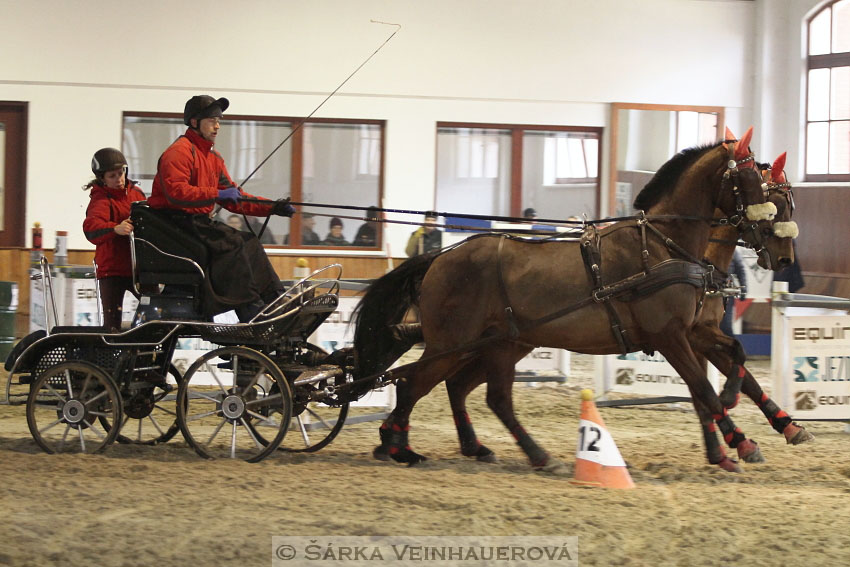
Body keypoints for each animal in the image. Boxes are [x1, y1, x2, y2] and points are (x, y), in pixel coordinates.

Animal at [352, 130, 776, 474]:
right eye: (748, 179)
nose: (769, 234)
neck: (659, 247)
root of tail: (440, 257)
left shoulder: (690, 332)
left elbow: (729, 361)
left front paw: (736, 414)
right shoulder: (670, 335)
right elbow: (702, 388)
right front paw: (742, 443)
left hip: (501, 343)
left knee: (481, 394)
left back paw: (508, 452)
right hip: (453, 343)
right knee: (415, 386)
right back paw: (400, 448)